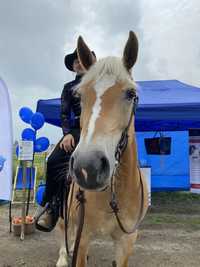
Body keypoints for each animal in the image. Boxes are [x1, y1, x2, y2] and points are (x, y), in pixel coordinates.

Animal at [55, 30, 148, 266]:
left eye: (131, 94)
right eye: (79, 96)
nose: (88, 167)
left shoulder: (126, 241)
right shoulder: (84, 235)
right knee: (62, 229)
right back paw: (62, 257)